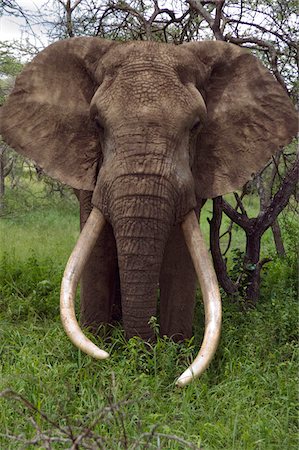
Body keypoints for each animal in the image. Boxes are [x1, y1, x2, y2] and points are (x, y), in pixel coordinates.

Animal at [0, 37, 298, 384]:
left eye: (196, 126)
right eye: (97, 123)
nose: (138, 358)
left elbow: (182, 255)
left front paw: (175, 356)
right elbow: (98, 252)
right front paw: (98, 351)